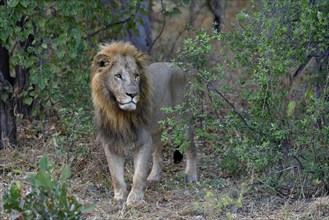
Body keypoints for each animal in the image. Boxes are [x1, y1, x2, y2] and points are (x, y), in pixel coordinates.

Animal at [91, 41, 196, 206]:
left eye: (136, 75)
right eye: (118, 76)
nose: (133, 94)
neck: (119, 113)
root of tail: (176, 66)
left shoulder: (143, 139)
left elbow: (139, 174)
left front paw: (135, 200)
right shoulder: (110, 141)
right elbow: (115, 175)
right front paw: (119, 197)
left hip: (182, 118)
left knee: (191, 148)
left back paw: (191, 176)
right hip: (155, 130)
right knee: (158, 154)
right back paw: (153, 177)